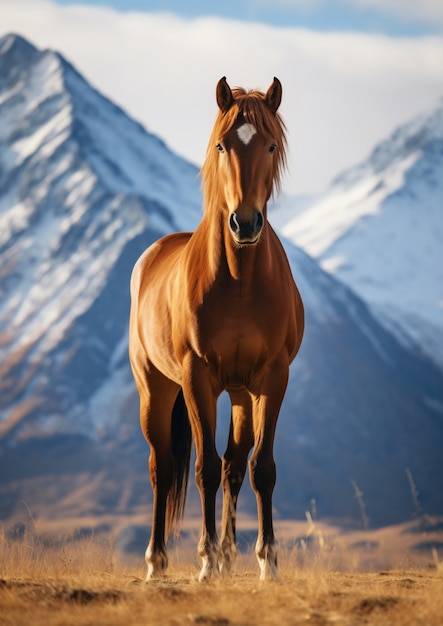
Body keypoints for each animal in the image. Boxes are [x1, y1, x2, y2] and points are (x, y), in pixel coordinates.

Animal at [129, 77, 306, 580]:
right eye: (222, 144)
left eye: (270, 144)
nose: (244, 223)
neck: (240, 281)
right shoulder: (196, 377)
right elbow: (203, 467)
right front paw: (206, 560)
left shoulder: (272, 377)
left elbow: (260, 467)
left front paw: (267, 561)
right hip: (155, 388)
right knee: (162, 466)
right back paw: (158, 561)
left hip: (242, 392)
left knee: (234, 466)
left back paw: (228, 557)